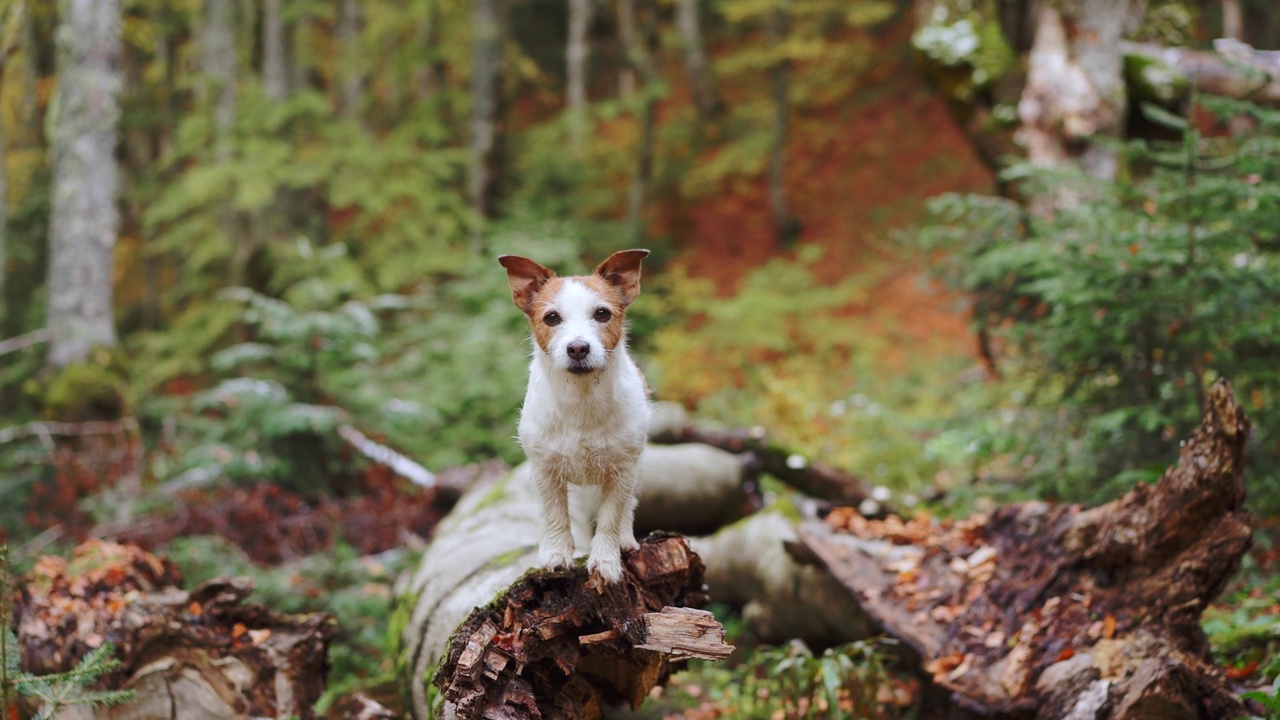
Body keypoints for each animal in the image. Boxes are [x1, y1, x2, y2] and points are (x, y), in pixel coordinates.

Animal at [496, 249, 650, 579]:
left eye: (602, 313)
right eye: (552, 317)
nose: (578, 348)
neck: (582, 400)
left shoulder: (622, 472)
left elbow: (611, 517)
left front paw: (605, 561)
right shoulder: (545, 471)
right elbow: (555, 515)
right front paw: (555, 556)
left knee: (628, 507)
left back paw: (625, 540)